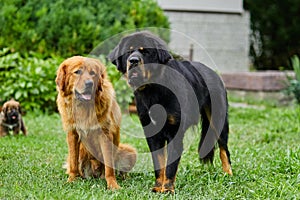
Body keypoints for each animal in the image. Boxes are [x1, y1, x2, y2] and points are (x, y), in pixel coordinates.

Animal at [55, 55, 137, 189]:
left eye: (92, 73)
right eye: (77, 72)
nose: (89, 83)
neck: (84, 107)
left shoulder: (105, 135)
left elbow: (109, 166)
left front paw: (112, 184)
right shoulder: (72, 133)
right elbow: (73, 161)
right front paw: (71, 180)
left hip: (130, 152)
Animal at [109, 31, 233, 194]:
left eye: (145, 52)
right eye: (128, 52)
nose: (133, 61)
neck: (153, 89)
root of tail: (214, 73)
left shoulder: (175, 132)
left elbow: (170, 165)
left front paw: (167, 189)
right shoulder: (153, 134)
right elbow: (159, 162)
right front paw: (158, 186)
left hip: (218, 119)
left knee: (224, 149)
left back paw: (228, 174)